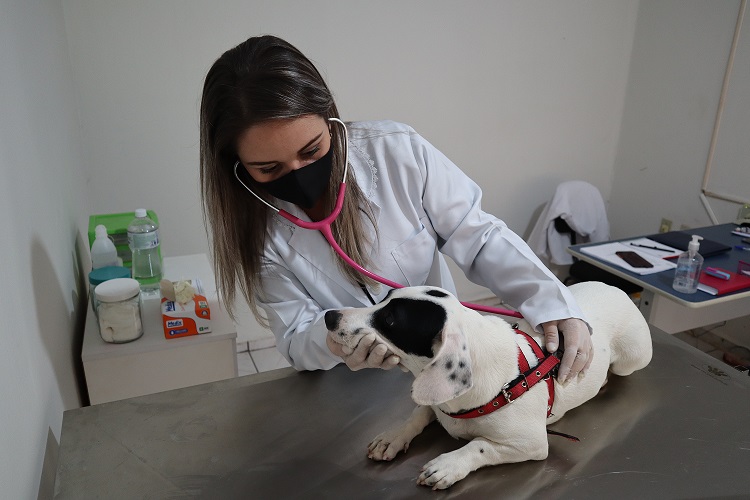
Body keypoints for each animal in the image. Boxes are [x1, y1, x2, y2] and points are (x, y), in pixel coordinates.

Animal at [326, 284, 656, 490]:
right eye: (384, 297)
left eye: (390, 320)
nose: (330, 316)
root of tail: (619, 291)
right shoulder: (437, 403)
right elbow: (419, 413)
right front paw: (393, 437)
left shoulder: (533, 443)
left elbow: (480, 445)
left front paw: (449, 465)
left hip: (633, 358)